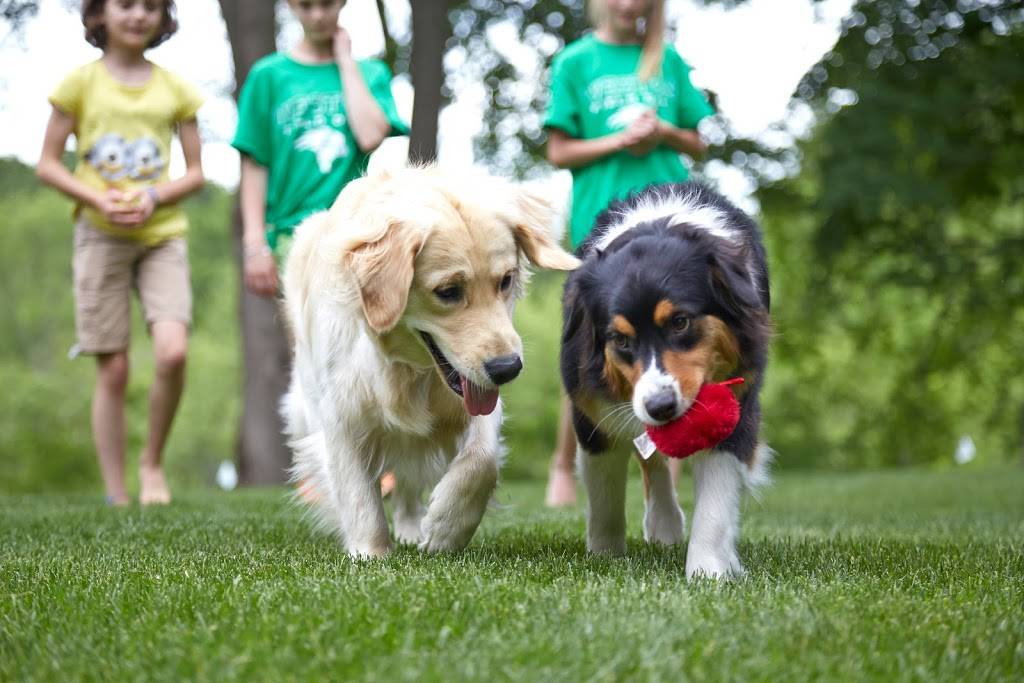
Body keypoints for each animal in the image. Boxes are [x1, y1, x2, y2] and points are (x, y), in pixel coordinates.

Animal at [284, 167, 581, 557]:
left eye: (506, 280)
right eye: (448, 292)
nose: (507, 368)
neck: (410, 371)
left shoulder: (476, 401)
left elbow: (482, 460)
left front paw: (445, 529)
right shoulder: (341, 413)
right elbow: (358, 493)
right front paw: (371, 554)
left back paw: (412, 528)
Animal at [565, 181, 770, 577]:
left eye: (680, 322)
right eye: (620, 340)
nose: (660, 407)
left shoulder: (739, 404)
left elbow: (715, 503)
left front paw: (708, 572)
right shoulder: (592, 411)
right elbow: (605, 492)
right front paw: (604, 554)